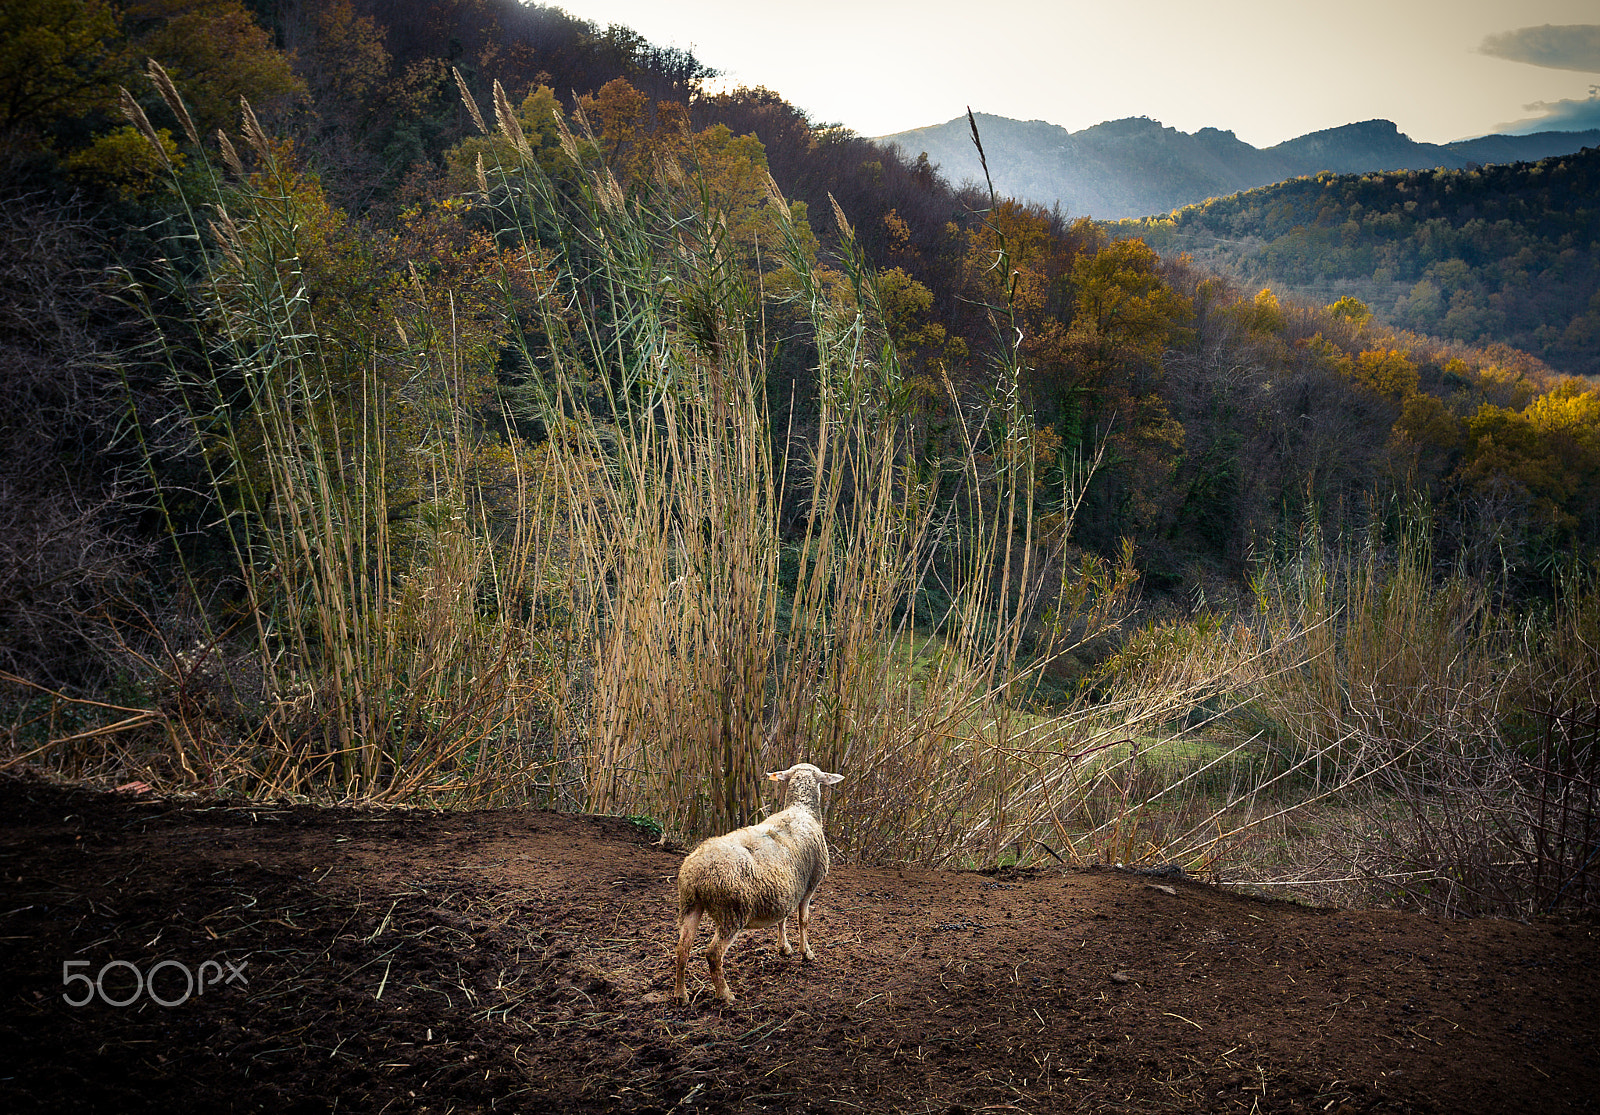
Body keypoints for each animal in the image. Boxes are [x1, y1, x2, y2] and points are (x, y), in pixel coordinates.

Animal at [675, 761, 851, 1004]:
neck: (800, 809)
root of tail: (698, 871)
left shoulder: (787, 888)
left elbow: (782, 919)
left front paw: (784, 948)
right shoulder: (810, 886)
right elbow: (803, 920)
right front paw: (806, 953)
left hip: (690, 904)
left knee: (682, 949)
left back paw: (681, 995)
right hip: (733, 911)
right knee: (713, 954)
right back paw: (725, 994)